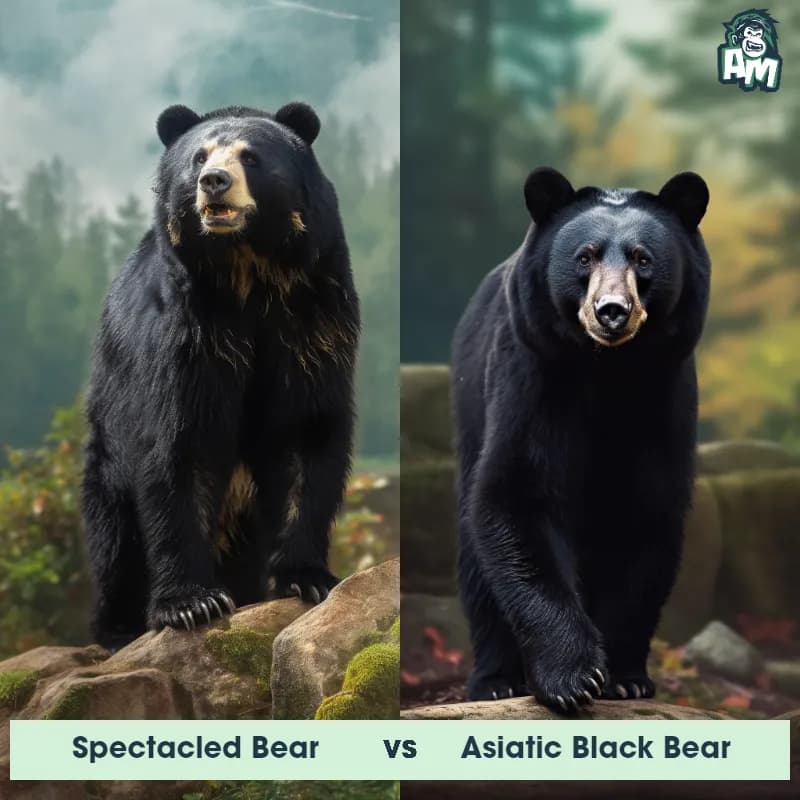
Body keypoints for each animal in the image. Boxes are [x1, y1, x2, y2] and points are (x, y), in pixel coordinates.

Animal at [82, 102, 359, 650]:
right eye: (199, 156)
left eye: (250, 157)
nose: (213, 182)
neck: (246, 270)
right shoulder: (184, 333)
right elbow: (178, 444)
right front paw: (191, 603)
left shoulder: (314, 319)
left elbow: (307, 433)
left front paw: (308, 578)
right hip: (108, 439)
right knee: (115, 533)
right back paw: (118, 627)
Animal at [451, 167, 710, 712]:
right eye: (585, 256)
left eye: (642, 258)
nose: (611, 311)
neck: (607, 369)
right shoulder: (534, 373)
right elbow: (516, 496)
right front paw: (573, 677)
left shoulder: (664, 394)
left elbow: (647, 516)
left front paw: (624, 677)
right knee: (476, 566)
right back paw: (496, 680)